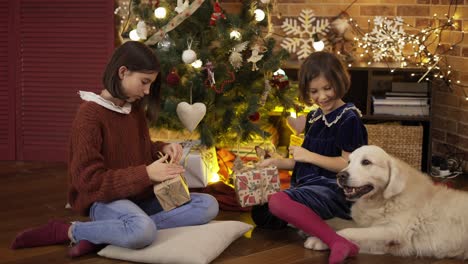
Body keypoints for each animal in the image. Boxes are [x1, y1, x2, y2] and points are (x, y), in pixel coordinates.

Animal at [304, 145, 468, 258]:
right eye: (349, 162)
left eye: (366, 162)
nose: (340, 175)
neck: (381, 201)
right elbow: (337, 222)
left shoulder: (393, 230)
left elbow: (347, 231)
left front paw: (319, 239)